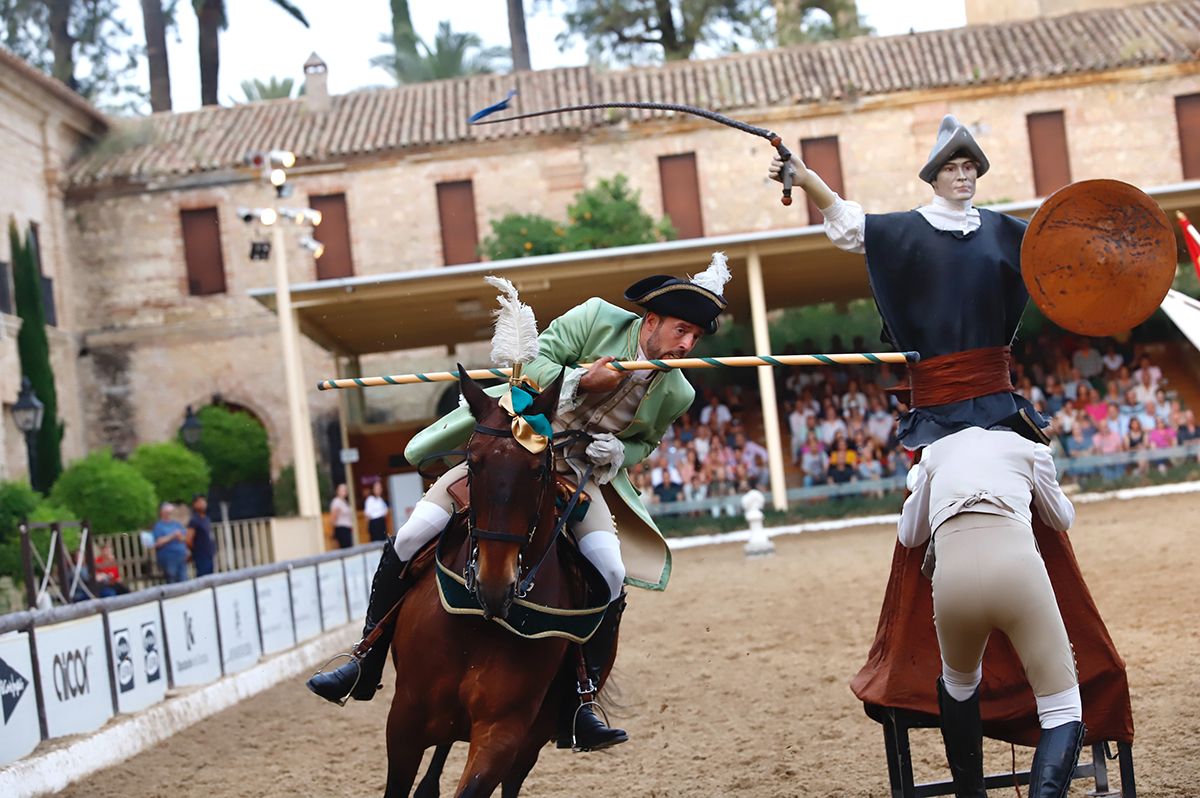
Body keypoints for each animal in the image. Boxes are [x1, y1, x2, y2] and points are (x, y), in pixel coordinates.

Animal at [381, 369, 614, 796]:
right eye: (472, 463)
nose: (494, 584)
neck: (477, 623)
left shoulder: (503, 732)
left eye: (538, 470)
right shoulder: (405, 718)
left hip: (531, 738)